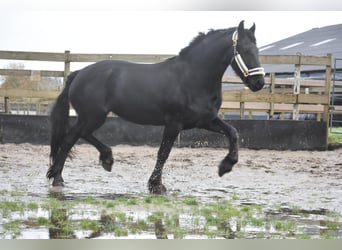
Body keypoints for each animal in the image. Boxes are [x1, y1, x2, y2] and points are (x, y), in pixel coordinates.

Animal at [47, 21, 264, 193]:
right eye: (246, 51)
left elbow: (233, 132)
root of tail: (79, 73)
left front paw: (225, 167)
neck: (192, 77)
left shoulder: (205, 121)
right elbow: (163, 153)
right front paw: (156, 185)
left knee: (75, 137)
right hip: (93, 117)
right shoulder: (174, 124)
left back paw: (92, 165)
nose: (259, 83)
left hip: (91, 118)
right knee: (70, 139)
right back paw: (62, 176)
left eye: (257, 51)